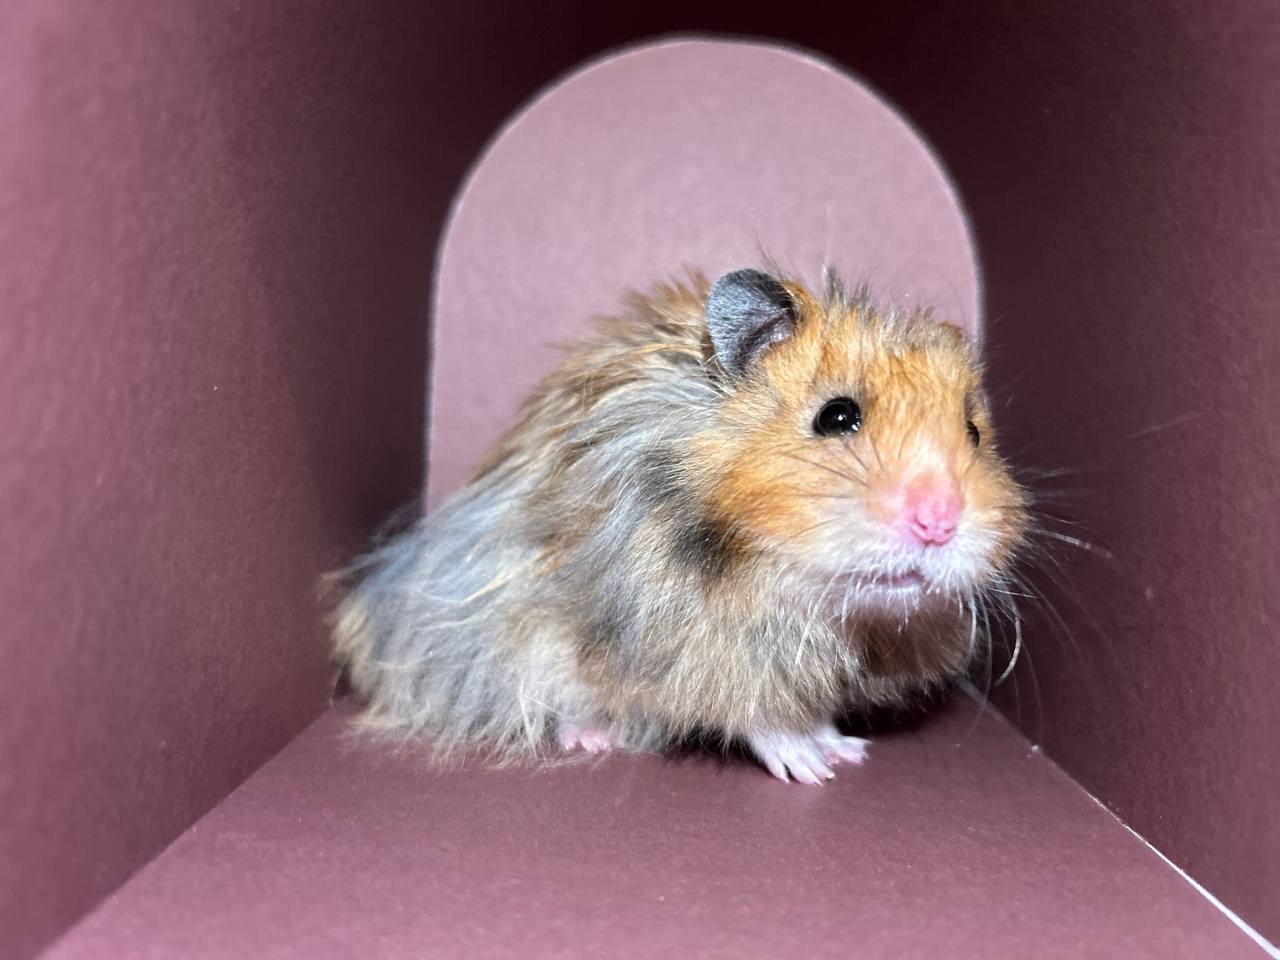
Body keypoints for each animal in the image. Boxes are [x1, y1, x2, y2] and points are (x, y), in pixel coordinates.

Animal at [331, 268, 1029, 784]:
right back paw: (592, 737)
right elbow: (752, 711)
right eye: (836, 416)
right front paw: (811, 768)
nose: (938, 523)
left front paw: (846, 748)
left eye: (974, 431)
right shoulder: (686, 651)